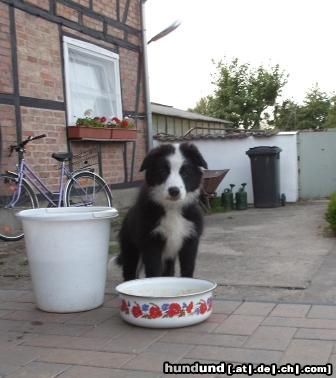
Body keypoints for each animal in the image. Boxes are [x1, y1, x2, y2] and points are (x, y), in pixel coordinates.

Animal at [118, 142, 207, 280]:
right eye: (163, 171)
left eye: (185, 172)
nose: (174, 191)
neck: (172, 208)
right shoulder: (151, 242)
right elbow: (154, 272)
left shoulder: (190, 240)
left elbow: (187, 269)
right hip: (130, 248)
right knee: (129, 272)